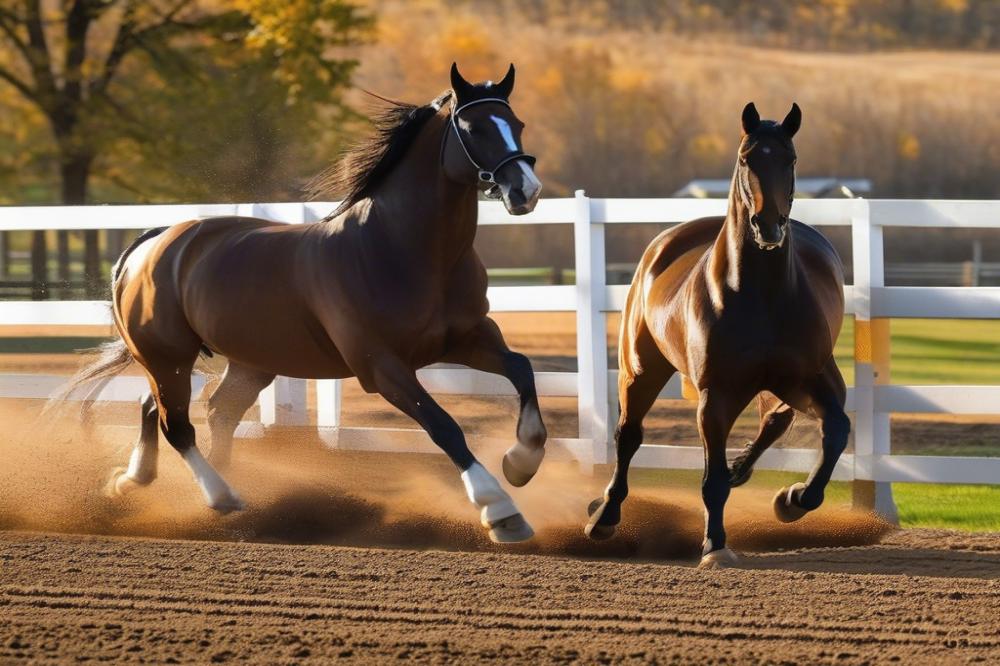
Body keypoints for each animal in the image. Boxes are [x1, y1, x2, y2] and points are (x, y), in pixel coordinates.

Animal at [66, 65, 552, 544]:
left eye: (517, 124)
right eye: (474, 128)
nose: (525, 191)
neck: (403, 249)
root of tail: (151, 241)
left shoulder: (467, 339)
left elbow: (522, 370)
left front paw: (520, 462)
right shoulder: (382, 367)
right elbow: (444, 425)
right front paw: (501, 509)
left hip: (245, 361)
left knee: (198, 410)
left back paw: (139, 482)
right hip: (167, 357)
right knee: (177, 423)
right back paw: (219, 496)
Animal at [584, 102, 852, 564]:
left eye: (791, 159)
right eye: (746, 159)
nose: (768, 225)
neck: (761, 293)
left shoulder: (809, 378)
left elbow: (835, 430)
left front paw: (794, 498)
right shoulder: (716, 396)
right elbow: (712, 481)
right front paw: (715, 545)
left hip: (789, 384)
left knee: (776, 422)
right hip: (640, 371)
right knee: (629, 435)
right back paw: (605, 515)